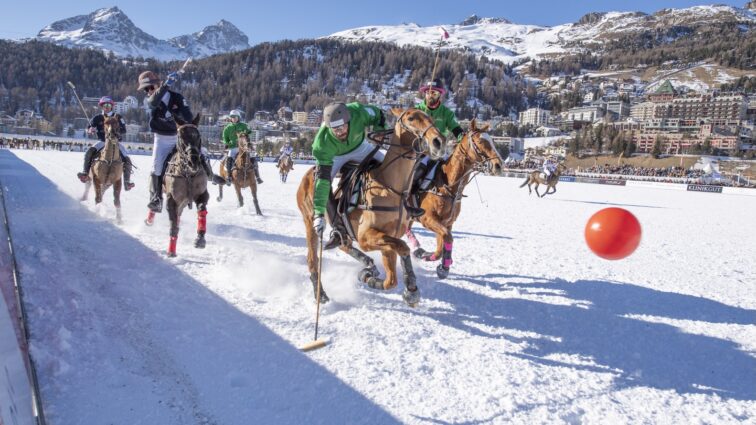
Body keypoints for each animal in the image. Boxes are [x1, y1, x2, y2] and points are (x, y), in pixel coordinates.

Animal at [161, 112, 210, 256]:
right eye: (181, 136)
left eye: (198, 136)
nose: (193, 161)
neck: (188, 175)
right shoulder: (171, 199)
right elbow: (173, 225)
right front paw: (171, 251)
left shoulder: (202, 193)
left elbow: (202, 209)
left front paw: (200, 239)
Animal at [296, 106, 448, 304]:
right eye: (411, 118)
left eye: (430, 117)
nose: (439, 142)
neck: (390, 187)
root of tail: (307, 173)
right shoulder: (365, 237)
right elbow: (403, 247)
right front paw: (410, 289)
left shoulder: (388, 237)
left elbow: (391, 279)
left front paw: (371, 278)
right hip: (310, 220)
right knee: (313, 258)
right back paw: (320, 294)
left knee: (344, 244)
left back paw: (368, 265)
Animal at [404, 119, 504, 278]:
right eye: (479, 141)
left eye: (492, 141)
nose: (498, 165)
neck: (448, 185)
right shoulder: (428, 219)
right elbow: (447, 238)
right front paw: (440, 264)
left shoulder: (447, 222)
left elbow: (442, 243)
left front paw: (442, 264)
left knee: (407, 227)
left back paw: (417, 248)